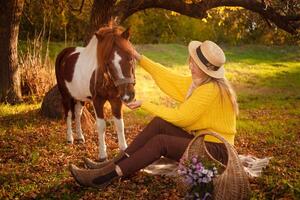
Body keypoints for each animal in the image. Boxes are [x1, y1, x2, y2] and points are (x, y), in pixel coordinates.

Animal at [55, 23, 136, 161]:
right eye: (108, 63)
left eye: (130, 58)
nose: (128, 96)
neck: (106, 78)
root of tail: (64, 53)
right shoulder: (97, 101)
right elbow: (101, 126)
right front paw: (102, 154)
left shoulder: (116, 100)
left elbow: (120, 125)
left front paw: (124, 149)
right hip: (65, 94)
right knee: (69, 114)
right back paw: (70, 138)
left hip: (80, 97)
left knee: (77, 113)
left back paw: (80, 137)